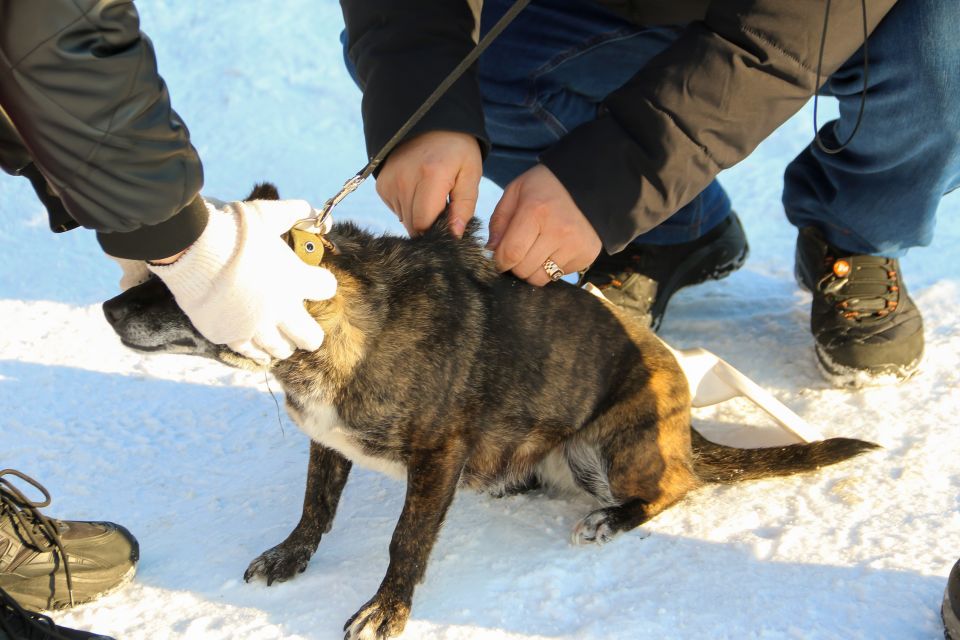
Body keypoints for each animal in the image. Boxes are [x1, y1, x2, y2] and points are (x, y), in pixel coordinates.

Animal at [103, 184, 876, 640]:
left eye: (182, 284)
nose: (108, 309)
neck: (340, 321)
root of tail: (687, 426)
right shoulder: (328, 443)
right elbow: (315, 506)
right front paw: (291, 554)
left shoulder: (437, 455)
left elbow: (406, 541)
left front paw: (387, 607)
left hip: (610, 444)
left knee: (678, 486)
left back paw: (611, 517)